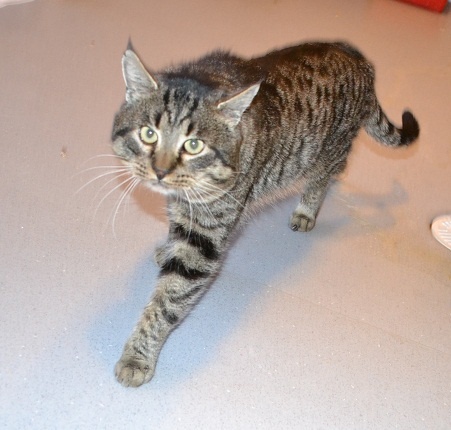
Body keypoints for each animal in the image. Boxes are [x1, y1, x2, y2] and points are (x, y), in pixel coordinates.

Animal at [111, 41, 419, 387]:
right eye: (148, 134)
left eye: (193, 145)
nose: (161, 172)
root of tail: (359, 58)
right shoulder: (184, 208)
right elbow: (175, 232)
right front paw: (166, 249)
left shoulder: (204, 242)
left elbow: (168, 300)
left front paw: (137, 356)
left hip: (328, 149)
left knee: (327, 173)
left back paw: (307, 209)